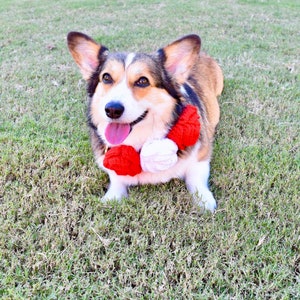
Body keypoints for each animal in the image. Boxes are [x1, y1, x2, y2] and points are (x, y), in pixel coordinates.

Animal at [67, 31, 223, 212]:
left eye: (142, 81)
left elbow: (196, 178)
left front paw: (204, 201)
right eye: (106, 78)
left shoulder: (201, 155)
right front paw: (111, 198)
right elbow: (116, 180)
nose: (112, 109)